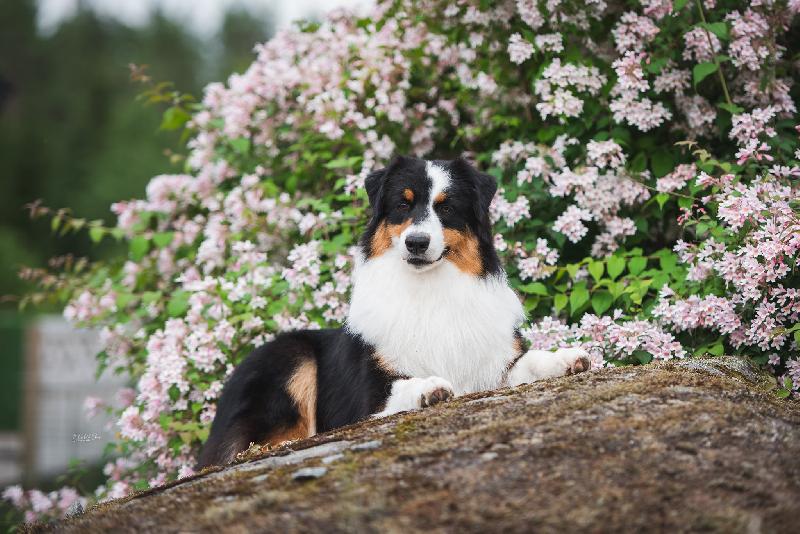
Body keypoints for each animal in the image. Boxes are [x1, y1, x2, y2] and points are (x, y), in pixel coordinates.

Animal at [197, 155, 592, 468]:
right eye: (403, 205)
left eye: (446, 207)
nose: (417, 242)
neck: (430, 289)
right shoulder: (367, 395)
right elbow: (400, 385)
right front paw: (429, 387)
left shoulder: (493, 364)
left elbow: (530, 361)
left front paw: (566, 358)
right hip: (291, 357)